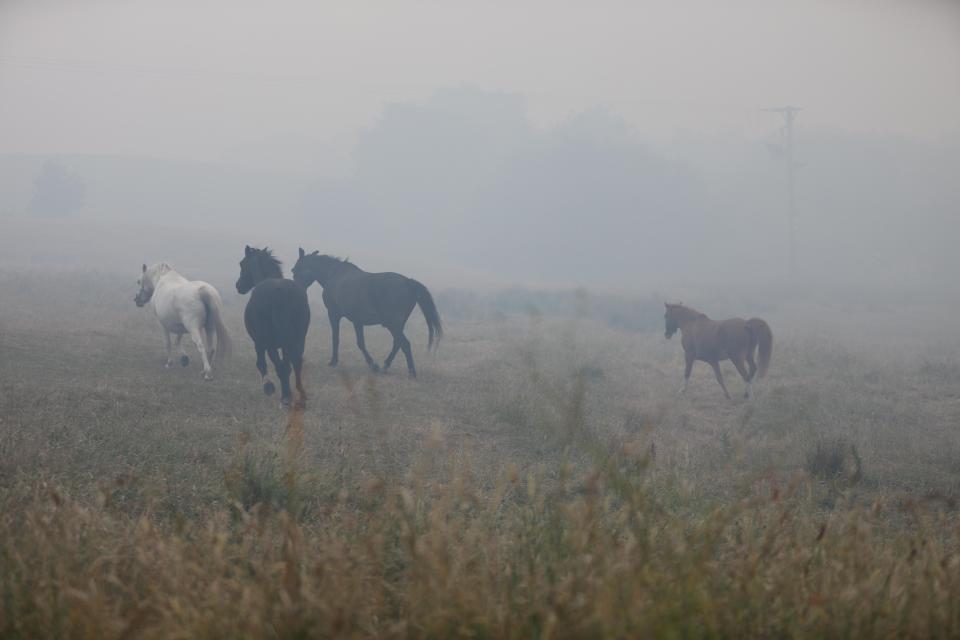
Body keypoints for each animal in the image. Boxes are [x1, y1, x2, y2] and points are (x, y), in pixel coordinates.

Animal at [234, 248, 310, 408]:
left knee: (280, 367)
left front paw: (268, 386)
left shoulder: (259, 343)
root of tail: (280, 293)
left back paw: (285, 396)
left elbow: (261, 364)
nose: (238, 285)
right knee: (295, 365)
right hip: (298, 340)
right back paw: (299, 395)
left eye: (242, 264)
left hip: (271, 344)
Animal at [292, 249, 442, 380]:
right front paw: (373, 365)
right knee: (397, 343)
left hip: (393, 324)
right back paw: (385, 367)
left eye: (296, 270)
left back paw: (411, 373)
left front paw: (334, 362)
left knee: (404, 344)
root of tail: (408, 282)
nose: (296, 290)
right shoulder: (357, 320)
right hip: (398, 324)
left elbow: (336, 338)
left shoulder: (333, 314)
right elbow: (360, 342)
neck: (334, 275)